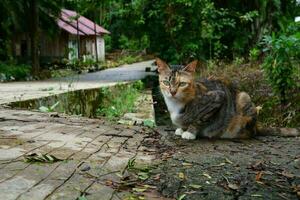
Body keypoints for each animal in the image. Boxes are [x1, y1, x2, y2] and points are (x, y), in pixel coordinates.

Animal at [157, 57, 300, 139]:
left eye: (182, 84)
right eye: (166, 82)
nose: (172, 92)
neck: (175, 104)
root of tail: (257, 126)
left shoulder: (217, 97)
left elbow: (200, 119)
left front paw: (190, 132)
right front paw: (182, 129)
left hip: (243, 97)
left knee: (251, 133)